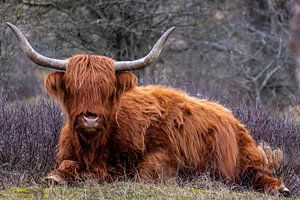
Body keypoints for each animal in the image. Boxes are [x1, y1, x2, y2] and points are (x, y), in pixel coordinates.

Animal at [6, 21, 288, 195]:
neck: (96, 147)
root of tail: (227, 113)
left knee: (259, 173)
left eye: (107, 89)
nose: (90, 119)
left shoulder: (165, 153)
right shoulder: (67, 153)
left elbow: (144, 173)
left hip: (247, 155)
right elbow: (65, 166)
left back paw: (279, 188)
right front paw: (54, 177)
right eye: (74, 88)